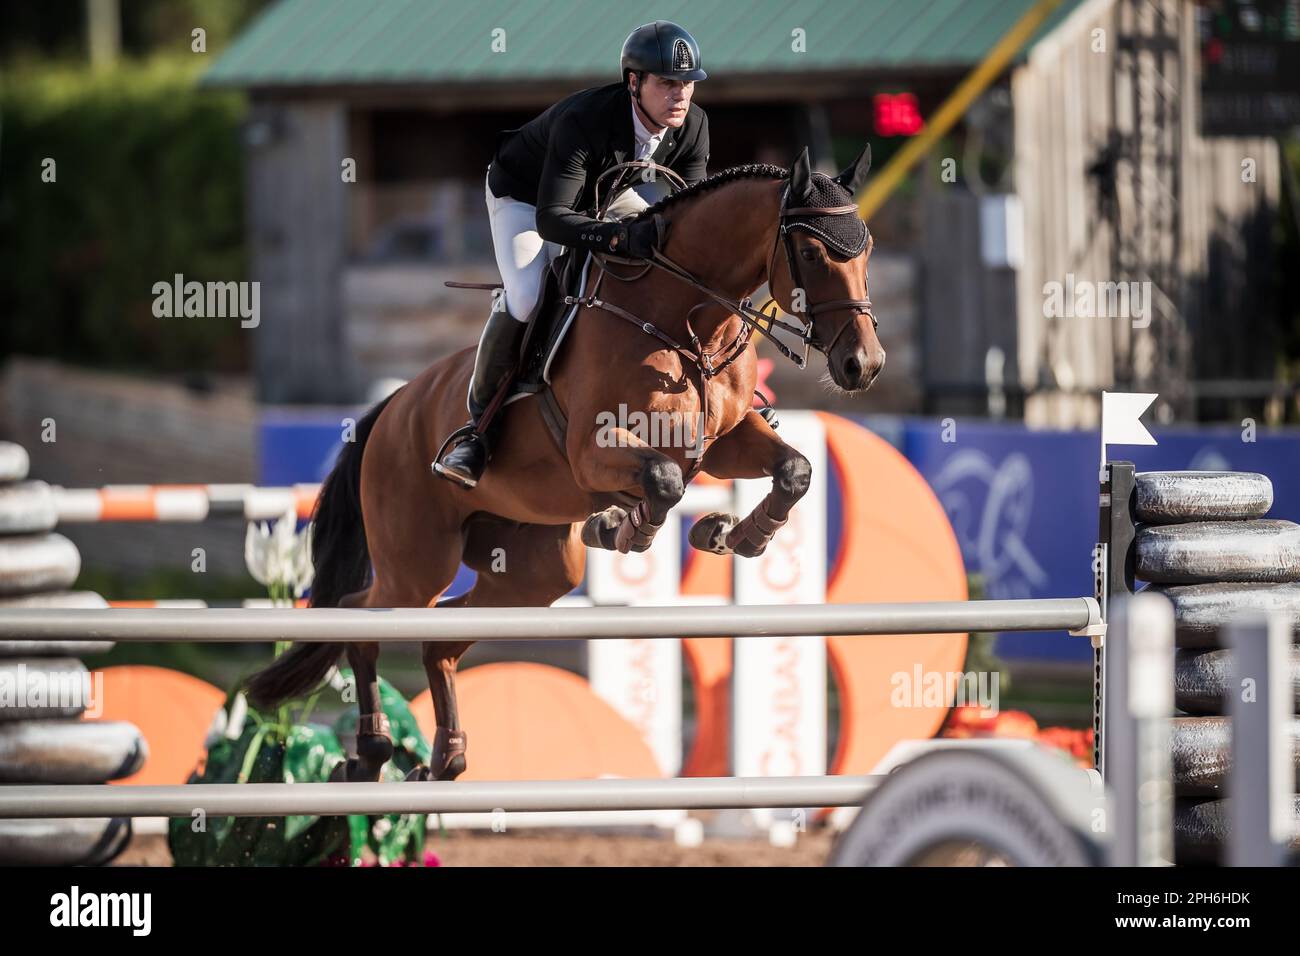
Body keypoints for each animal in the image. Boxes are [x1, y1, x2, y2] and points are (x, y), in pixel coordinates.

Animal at [245, 143, 883, 785]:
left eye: (868, 247)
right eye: (810, 252)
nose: (864, 364)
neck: (684, 319)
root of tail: (390, 409)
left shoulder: (722, 442)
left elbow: (793, 470)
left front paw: (733, 535)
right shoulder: (592, 451)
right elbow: (663, 481)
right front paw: (627, 529)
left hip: (533, 571)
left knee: (441, 640)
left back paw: (445, 757)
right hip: (416, 561)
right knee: (362, 617)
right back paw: (371, 751)